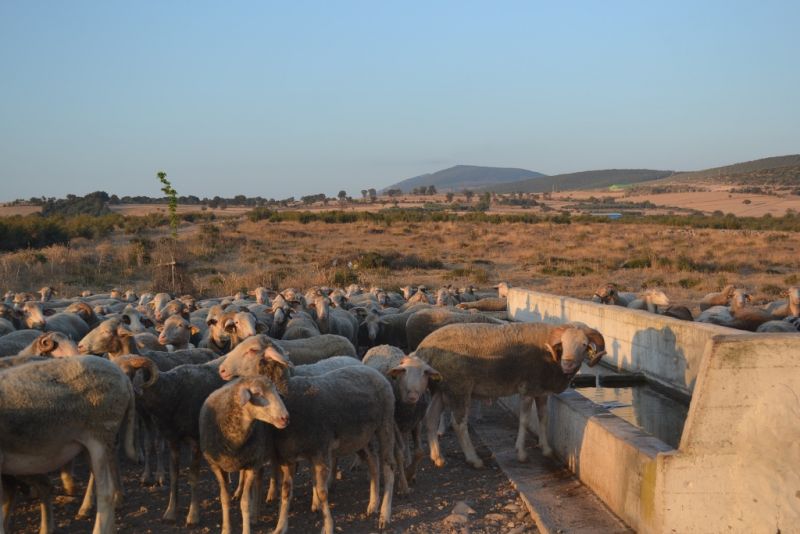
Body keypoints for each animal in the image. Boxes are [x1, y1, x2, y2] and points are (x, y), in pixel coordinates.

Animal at [113, 355, 227, 525]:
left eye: (127, 373)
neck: (171, 393)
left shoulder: (196, 442)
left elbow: (193, 477)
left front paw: (193, 516)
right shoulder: (172, 441)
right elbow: (174, 476)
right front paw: (170, 512)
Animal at [199, 376, 289, 534]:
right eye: (257, 393)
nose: (285, 418)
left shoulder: (253, 464)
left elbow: (245, 502)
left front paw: (247, 527)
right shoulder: (216, 466)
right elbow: (224, 499)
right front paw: (226, 529)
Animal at [363, 345, 441, 494]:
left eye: (424, 373)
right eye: (404, 372)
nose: (412, 395)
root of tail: (381, 345)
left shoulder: (417, 421)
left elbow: (419, 452)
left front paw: (410, 472)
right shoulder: (394, 423)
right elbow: (398, 452)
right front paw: (403, 485)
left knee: (405, 443)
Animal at [416, 321, 605, 467]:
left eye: (584, 345)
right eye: (563, 343)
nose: (567, 364)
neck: (550, 355)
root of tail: (422, 350)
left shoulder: (541, 391)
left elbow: (544, 418)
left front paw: (546, 449)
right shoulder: (528, 388)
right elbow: (524, 420)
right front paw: (521, 453)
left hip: (440, 389)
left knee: (430, 418)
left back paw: (438, 458)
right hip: (459, 388)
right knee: (458, 424)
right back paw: (474, 459)